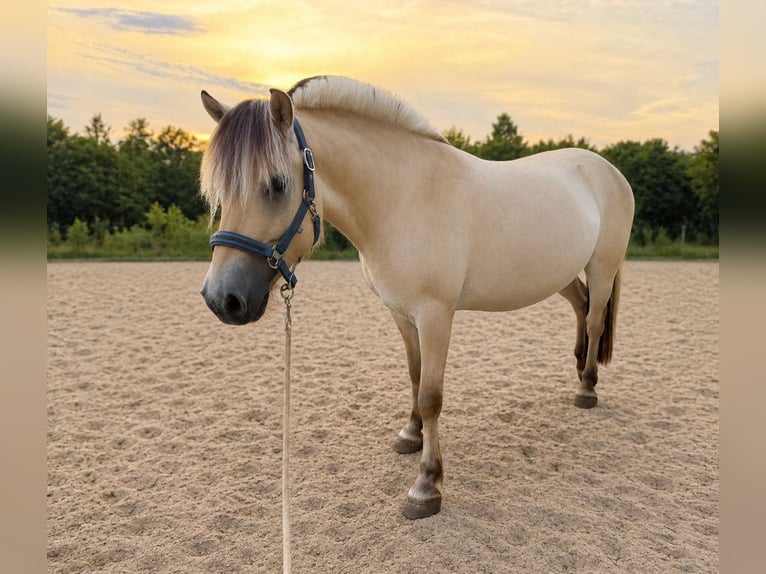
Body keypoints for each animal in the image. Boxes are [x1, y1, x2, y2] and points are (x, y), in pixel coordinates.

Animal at [199, 76, 634, 520]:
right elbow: (414, 374)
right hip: (562, 273)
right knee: (580, 305)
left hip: (601, 268)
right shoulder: (402, 313)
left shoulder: (435, 315)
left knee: (595, 318)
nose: (222, 299)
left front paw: (427, 486)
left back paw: (587, 389)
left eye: (276, 185)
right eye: (220, 191)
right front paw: (410, 435)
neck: (404, 197)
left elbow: (431, 396)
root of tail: (607, 169)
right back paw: (579, 369)